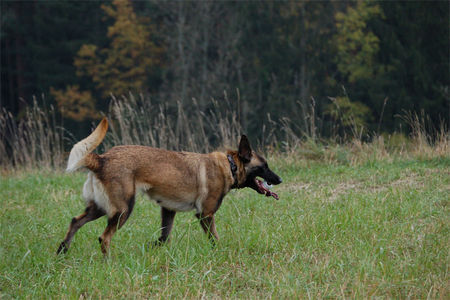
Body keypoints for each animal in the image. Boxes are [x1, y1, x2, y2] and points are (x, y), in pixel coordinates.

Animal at [56, 118, 282, 255]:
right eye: (264, 167)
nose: (279, 180)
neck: (229, 165)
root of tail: (101, 158)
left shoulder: (168, 210)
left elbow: (163, 238)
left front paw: (150, 250)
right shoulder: (206, 215)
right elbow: (214, 239)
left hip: (101, 208)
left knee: (75, 221)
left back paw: (62, 252)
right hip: (122, 209)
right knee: (104, 237)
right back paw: (107, 263)